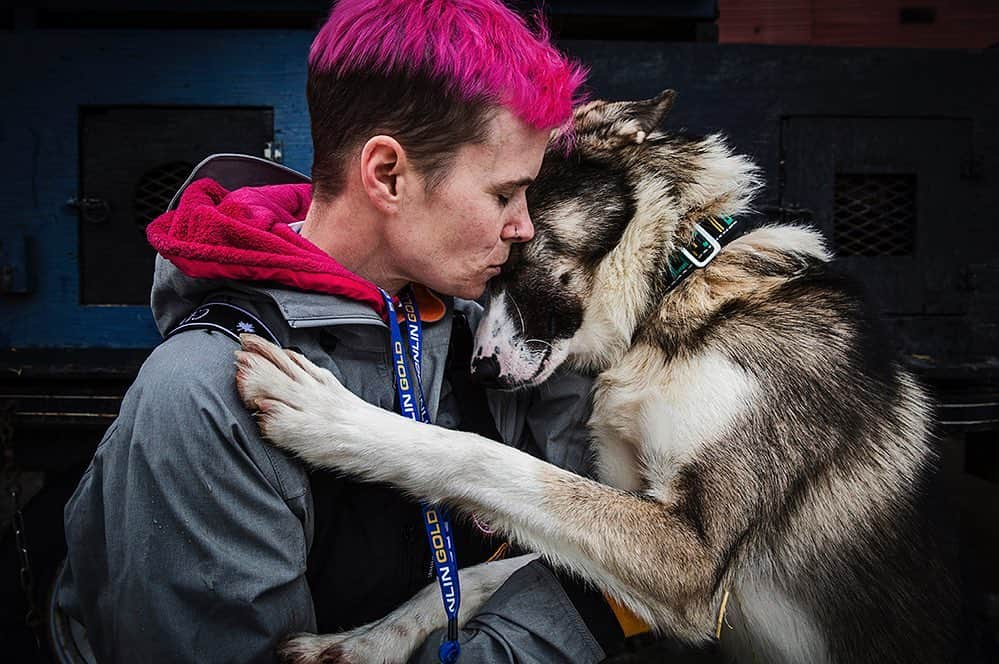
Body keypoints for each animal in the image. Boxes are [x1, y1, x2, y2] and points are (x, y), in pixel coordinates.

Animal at [234, 89, 960, 664]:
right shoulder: (628, 502)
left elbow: (486, 458)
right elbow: (489, 571)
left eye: (510, 248)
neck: (676, 283)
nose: (480, 373)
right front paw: (361, 642)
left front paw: (328, 418)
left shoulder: (692, 558)